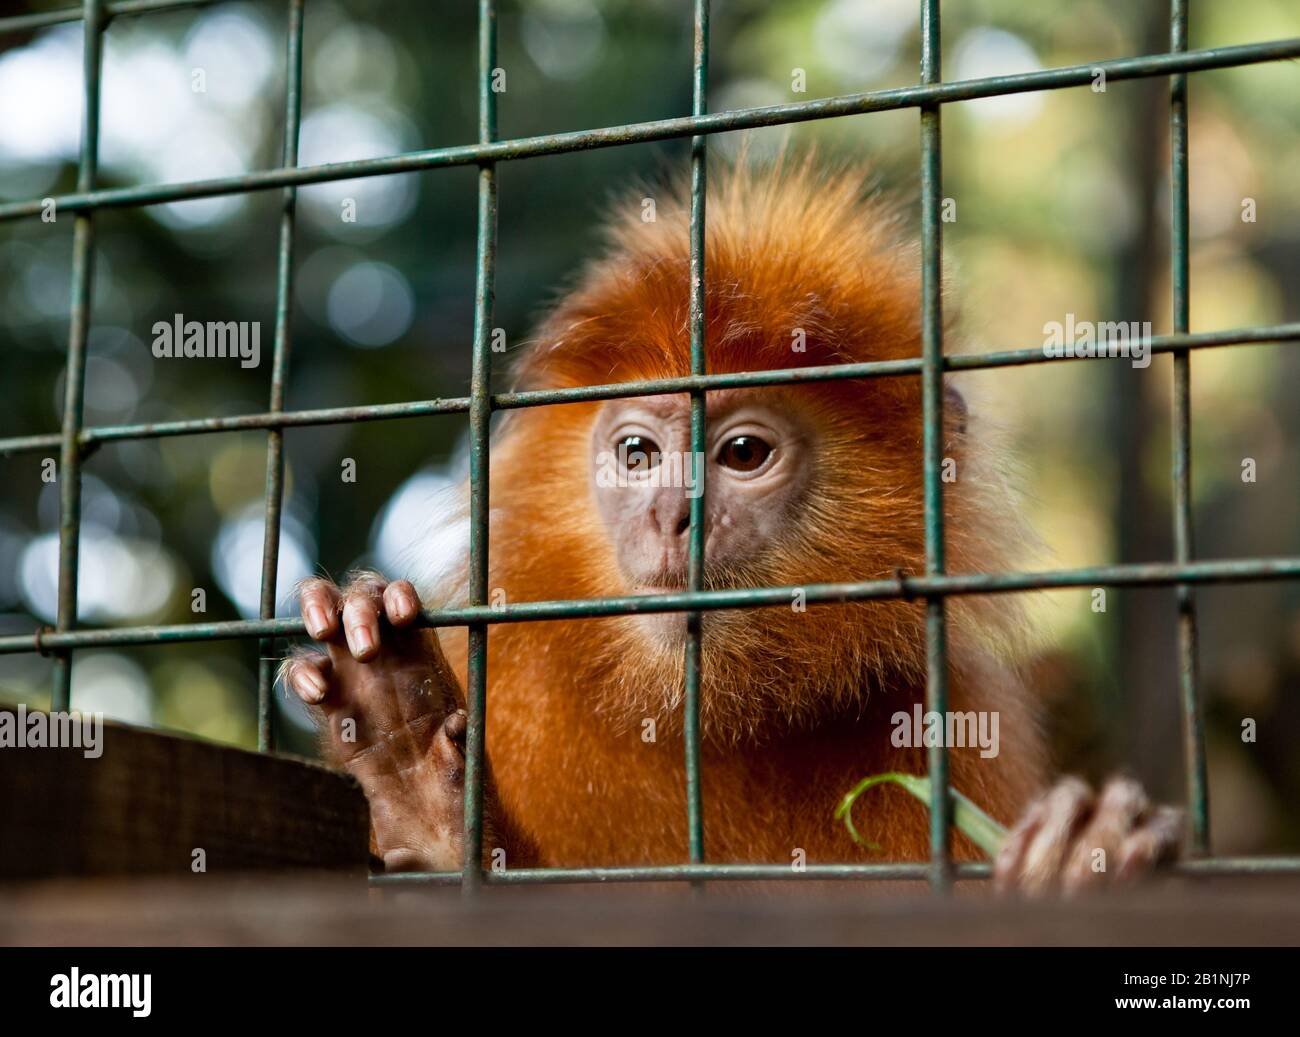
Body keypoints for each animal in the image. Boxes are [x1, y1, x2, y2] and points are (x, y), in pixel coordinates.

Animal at [287, 150, 1190, 899]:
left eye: (744, 452)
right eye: (639, 454)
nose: (672, 513)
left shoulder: (954, 716)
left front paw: (1080, 865)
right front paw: (414, 781)